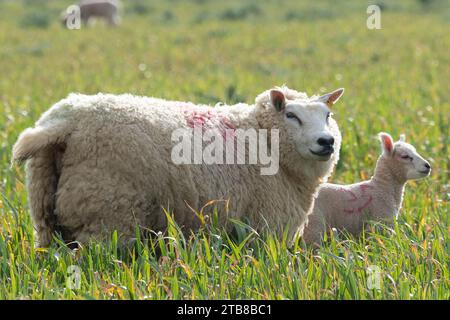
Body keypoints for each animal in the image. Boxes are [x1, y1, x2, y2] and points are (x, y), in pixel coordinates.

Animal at [13, 86, 344, 246]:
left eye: (328, 115)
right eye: (291, 116)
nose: (326, 141)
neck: (262, 136)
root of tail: (66, 122)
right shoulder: (267, 227)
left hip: (46, 214)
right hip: (107, 214)